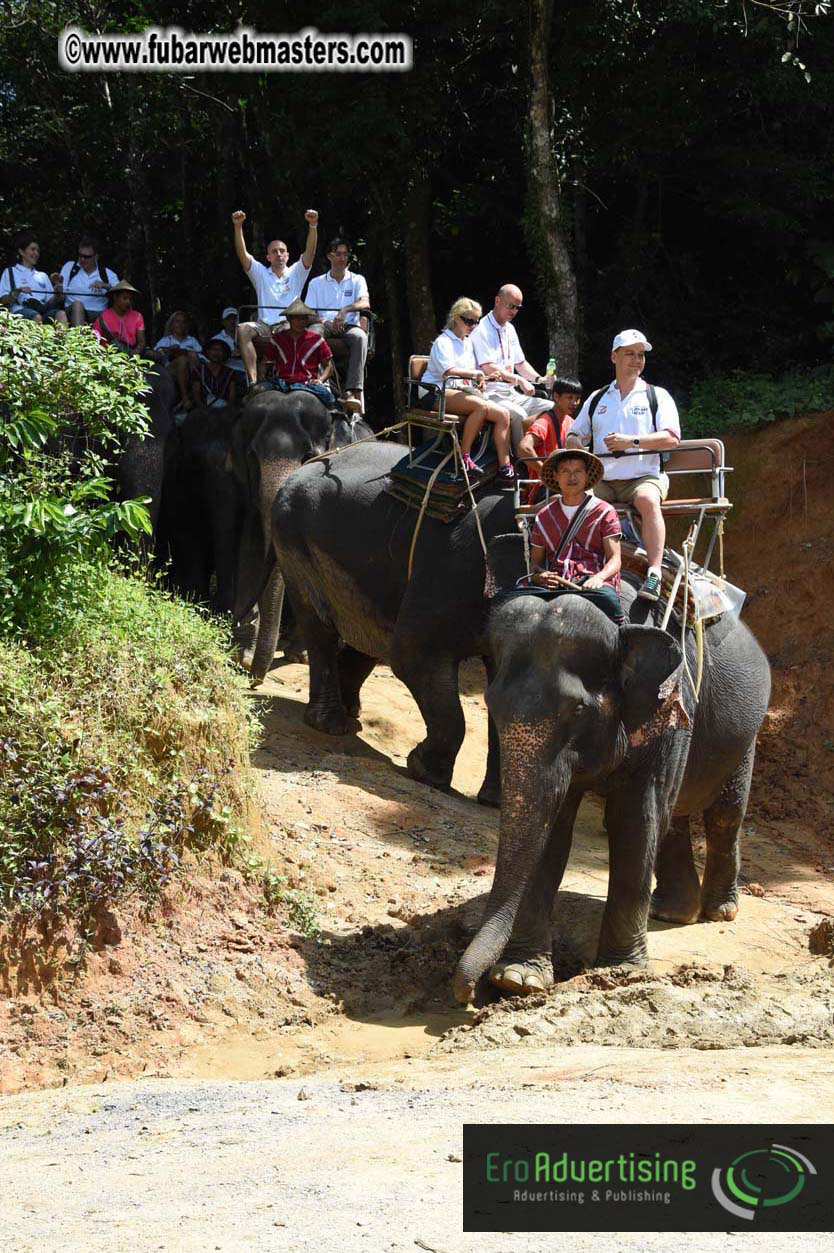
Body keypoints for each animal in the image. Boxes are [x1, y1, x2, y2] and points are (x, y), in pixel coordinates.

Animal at [230, 389, 372, 679]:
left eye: (309, 455)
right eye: (252, 455)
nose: (254, 680)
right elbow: (249, 549)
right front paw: (243, 656)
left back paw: (300, 655)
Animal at [271, 440, 521, 805]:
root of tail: (307, 464)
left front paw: (493, 801)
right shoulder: (454, 571)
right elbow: (412, 656)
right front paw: (423, 771)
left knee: (368, 633)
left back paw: (351, 713)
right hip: (293, 540)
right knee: (322, 628)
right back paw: (332, 725)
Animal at [452, 544, 771, 1004]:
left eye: (578, 710)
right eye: (491, 704)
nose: (466, 993)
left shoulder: (670, 703)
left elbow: (635, 817)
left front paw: (620, 975)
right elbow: (554, 826)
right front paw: (518, 978)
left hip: (745, 736)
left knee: (723, 815)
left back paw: (720, 911)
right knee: (673, 817)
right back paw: (670, 912)